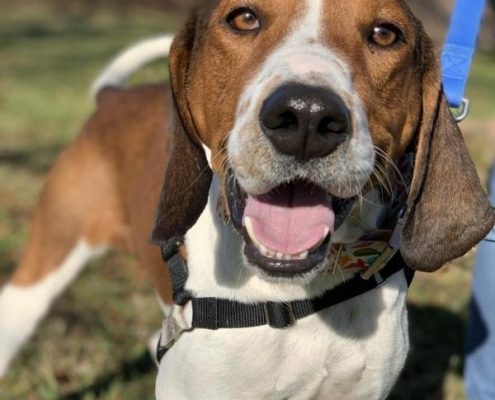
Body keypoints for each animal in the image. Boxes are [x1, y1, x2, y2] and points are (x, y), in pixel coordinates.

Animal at [0, 0, 495, 400]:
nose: (306, 116)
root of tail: (111, 100)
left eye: (385, 33)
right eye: (244, 18)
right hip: (38, 278)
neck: (296, 298)